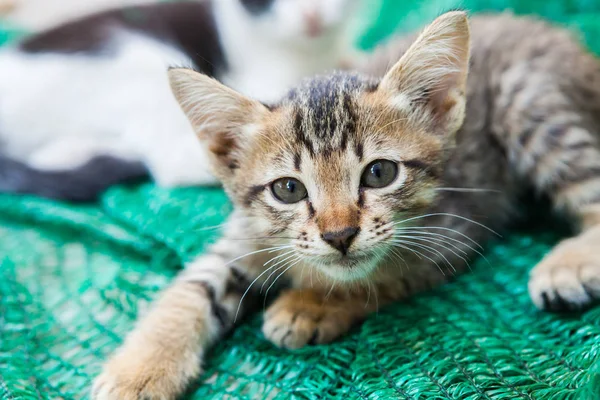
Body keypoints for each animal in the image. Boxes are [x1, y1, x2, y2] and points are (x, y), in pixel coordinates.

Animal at [91, 10, 600, 398]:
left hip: (527, 98)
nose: (339, 235)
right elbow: (189, 290)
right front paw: (138, 371)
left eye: (379, 173)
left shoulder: (453, 232)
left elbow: (380, 274)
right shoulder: (244, 233)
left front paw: (311, 304)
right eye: (288, 189)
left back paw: (569, 264)